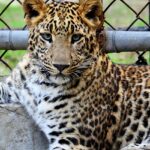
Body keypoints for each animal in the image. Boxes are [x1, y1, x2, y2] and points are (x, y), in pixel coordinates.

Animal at [0, 0, 150, 149]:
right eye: (47, 36)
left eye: (76, 37)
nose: (60, 66)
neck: (42, 81)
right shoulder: (11, 88)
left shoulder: (73, 140)